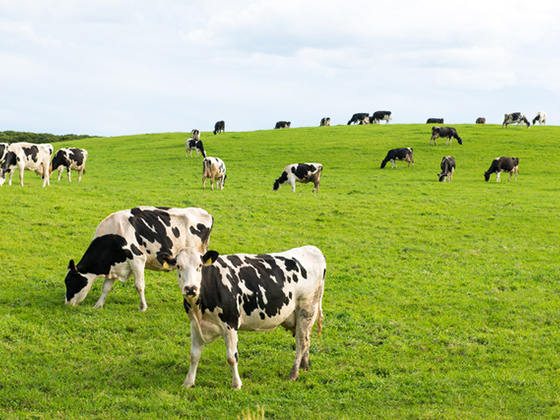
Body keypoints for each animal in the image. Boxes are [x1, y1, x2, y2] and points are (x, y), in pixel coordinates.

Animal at [64, 207, 213, 312]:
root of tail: (206, 213)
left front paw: (143, 307)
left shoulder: (137, 259)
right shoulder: (115, 265)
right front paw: (98, 305)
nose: (66, 303)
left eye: (69, 281)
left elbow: (139, 285)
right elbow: (106, 287)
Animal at [162, 244, 326, 388]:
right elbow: (193, 356)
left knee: (301, 342)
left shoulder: (230, 325)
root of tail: (312, 249)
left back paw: (294, 374)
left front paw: (236, 384)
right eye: (178, 266)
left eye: (200, 266)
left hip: (306, 309)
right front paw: (188, 382)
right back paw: (304, 367)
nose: (190, 288)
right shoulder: (195, 326)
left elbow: (232, 358)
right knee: (307, 339)